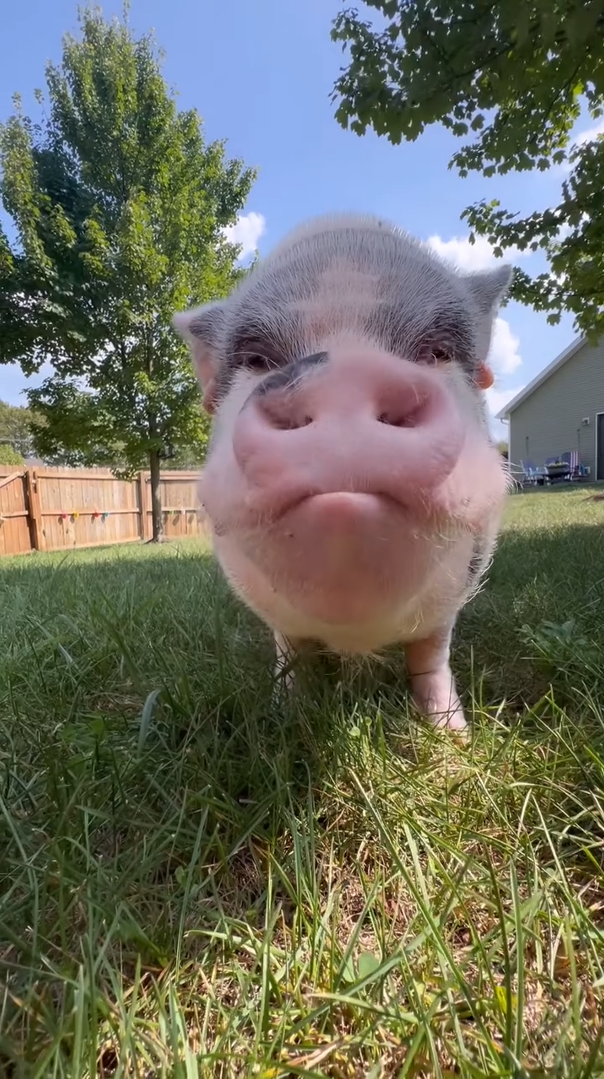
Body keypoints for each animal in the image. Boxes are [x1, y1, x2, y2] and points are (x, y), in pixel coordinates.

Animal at [173, 214, 512, 735]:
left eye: (436, 351)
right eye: (257, 360)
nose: (348, 372)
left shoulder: (452, 599)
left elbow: (431, 657)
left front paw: (454, 739)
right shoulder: (279, 622)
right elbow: (289, 653)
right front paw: (285, 719)